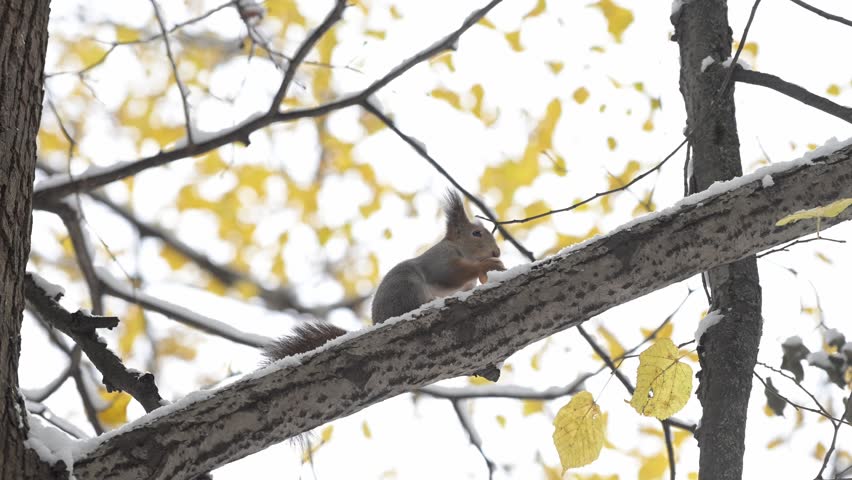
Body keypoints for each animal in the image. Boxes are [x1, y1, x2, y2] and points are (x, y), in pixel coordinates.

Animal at [262, 190, 505, 363]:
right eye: (476, 233)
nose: (497, 252)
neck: (459, 249)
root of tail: (377, 322)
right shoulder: (440, 261)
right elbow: (453, 274)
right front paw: (488, 264)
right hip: (407, 287)